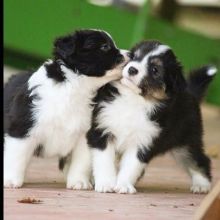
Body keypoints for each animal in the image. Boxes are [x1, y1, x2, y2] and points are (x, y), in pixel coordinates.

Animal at [3, 28, 129, 189]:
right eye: (105, 47)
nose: (131, 54)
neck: (75, 87)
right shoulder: (23, 127)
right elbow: (16, 156)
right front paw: (10, 180)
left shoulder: (85, 135)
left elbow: (81, 162)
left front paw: (79, 182)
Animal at [86, 40, 217, 193]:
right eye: (133, 56)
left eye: (155, 70)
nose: (132, 69)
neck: (132, 99)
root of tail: (191, 93)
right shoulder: (102, 129)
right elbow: (104, 161)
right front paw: (106, 184)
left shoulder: (144, 141)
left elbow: (131, 166)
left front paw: (124, 185)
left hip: (185, 143)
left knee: (199, 160)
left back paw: (201, 185)